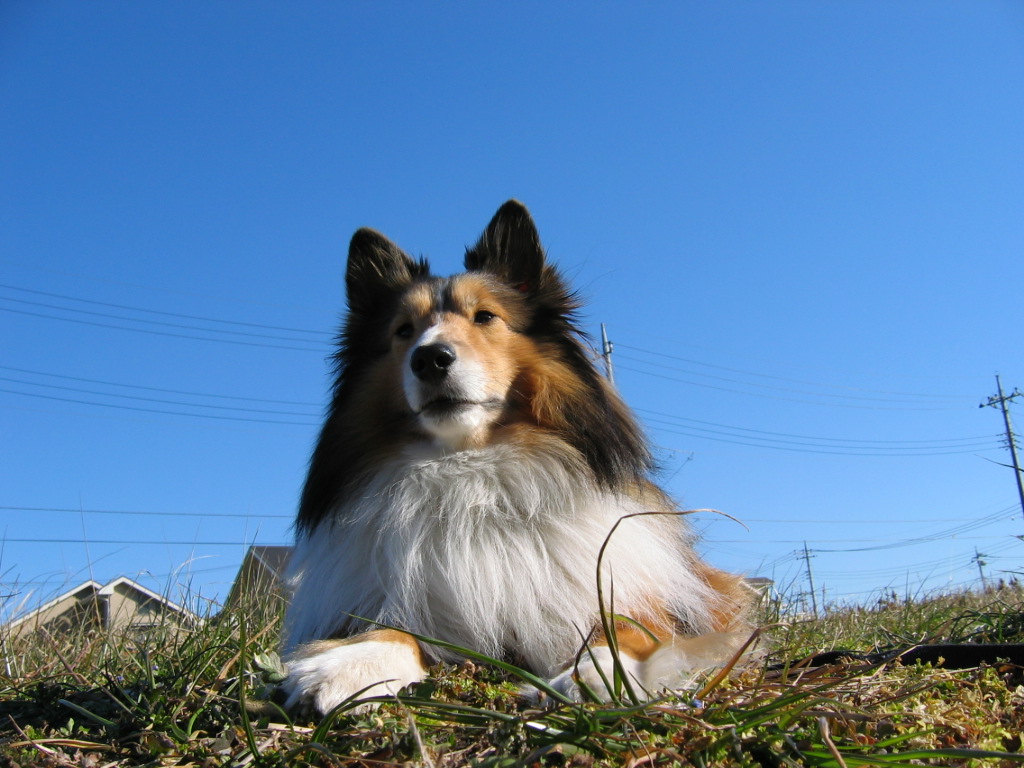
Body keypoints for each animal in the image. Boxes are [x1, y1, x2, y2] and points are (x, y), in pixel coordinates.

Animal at [280, 199, 753, 716]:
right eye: (403, 331)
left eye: (485, 316)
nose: (429, 358)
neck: (470, 472)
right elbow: (388, 628)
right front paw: (351, 663)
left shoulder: (640, 600)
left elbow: (622, 630)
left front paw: (595, 675)